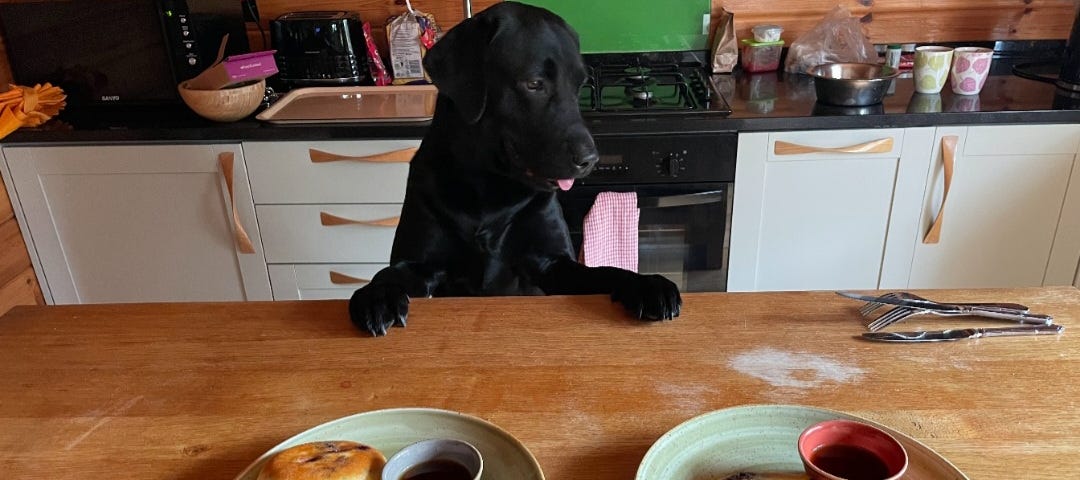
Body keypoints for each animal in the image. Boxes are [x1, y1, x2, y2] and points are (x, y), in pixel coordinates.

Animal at [349, 1, 678, 335]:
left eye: (580, 85)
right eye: (534, 84)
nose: (591, 159)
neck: (489, 189)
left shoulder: (552, 263)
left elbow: (605, 271)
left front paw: (644, 284)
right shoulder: (420, 264)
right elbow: (388, 274)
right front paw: (377, 295)